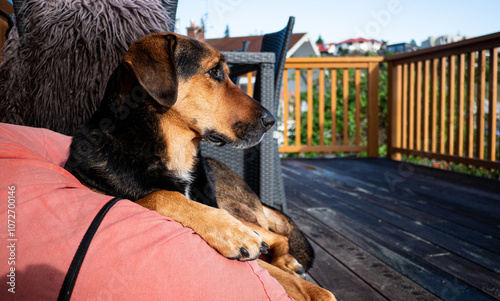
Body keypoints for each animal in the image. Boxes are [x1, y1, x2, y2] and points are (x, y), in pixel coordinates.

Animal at [63, 32, 336, 300]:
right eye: (214, 71)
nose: (271, 121)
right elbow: (161, 195)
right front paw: (228, 231)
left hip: (232, 206)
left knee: (276, 236)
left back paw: (287, 261)